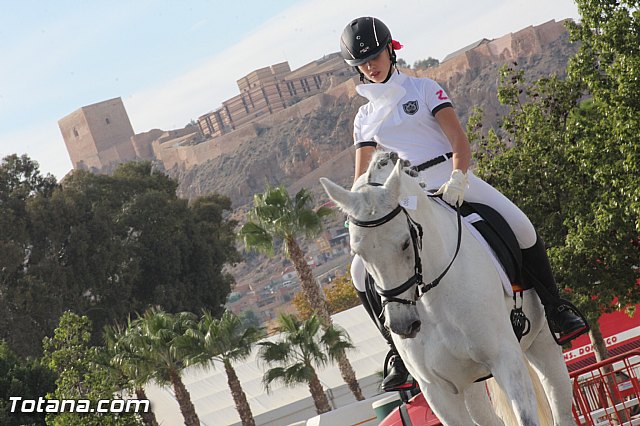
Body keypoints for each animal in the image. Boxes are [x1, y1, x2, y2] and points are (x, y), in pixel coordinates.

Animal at [320, 154, 576, 426]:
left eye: (405, 242)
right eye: (358, 252)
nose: (402, 325)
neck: (431, 299)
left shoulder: (505, 359)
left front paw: (453, 190)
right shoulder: (437, 390)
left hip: (542, 343)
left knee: (560, 406)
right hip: (470, 382)